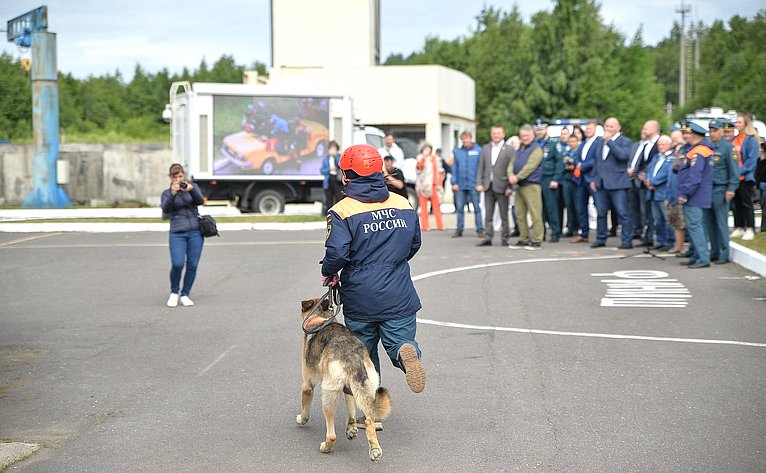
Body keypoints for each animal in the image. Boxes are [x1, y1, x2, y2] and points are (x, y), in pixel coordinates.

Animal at [296, 296, 392, 460]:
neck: (321, 318)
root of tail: (352, 356)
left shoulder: (307, 385)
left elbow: (305, 410)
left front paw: (301, 419)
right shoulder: (348, 390)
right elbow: (351, 411)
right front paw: (351, 429)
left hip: (328, 396)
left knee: (332, 434)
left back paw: (326, 447)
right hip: (366, 388)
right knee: (367, 420)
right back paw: (372, 448)